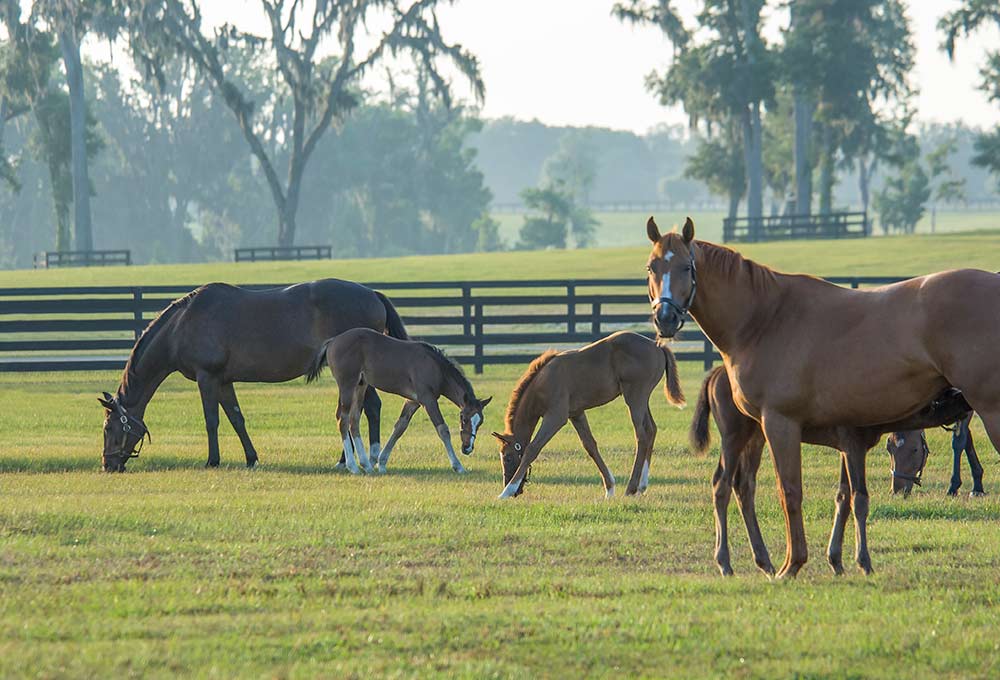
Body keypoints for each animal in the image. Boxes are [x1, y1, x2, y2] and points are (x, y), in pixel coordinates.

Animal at [94, 278, 406, 470]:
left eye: (109, 427)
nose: (108, 465)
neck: (181, 326)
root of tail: (373, 294)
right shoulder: (223, 381)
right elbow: (236, 419)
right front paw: (251, 458)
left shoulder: (207, 378)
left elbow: (212, 421)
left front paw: (212, 460)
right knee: (361, 410)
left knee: (365, 409)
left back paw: (360, 458)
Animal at [304, 328, 492, 472]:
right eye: (463, 418)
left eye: (480, 422)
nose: (467, 448)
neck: (435, 367)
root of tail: (333, 341)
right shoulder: (428, 399)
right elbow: (443, 430)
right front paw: (458, 466)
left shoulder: (413, 401)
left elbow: (399, 428)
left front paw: (382, 463)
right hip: (347, 385)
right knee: (342, 419)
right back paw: (353, 466)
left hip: (361, 385)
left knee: (354, 419)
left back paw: (366, 465)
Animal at [488, 330, 684, 500]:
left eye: (507, 457)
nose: (515, 491)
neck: (544, 381)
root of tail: (657, 346)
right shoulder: (576, 413)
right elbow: (590, 446)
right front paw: (609, 488)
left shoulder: (556, 417)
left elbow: (533, 448)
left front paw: (506, 491)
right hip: (642, 399)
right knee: (651, 430)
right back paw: (642, 486)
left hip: (635, 397)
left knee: (641, 435)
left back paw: (631, 488)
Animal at [688, 364, 968, 576]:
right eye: (908, 449)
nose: (900, 487)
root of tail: (715, 374)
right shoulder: (854, 446)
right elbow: (859, 499)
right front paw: (863, 562)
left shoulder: (848, 450)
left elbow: (843, 497)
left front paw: (836, 561)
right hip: (734, 438)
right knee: (722, 485)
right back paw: (725, 563)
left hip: (757, 438)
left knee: (744, 486)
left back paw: (764, 562)